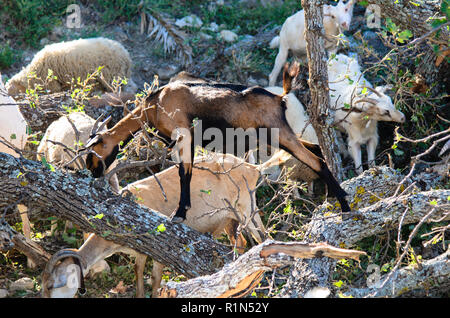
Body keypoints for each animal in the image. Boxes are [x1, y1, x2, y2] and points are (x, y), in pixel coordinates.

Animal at [41, 153, 268, 298]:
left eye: (52, 285)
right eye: (43, 284)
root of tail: (253, 168)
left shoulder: (161, 248)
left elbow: (156, 278)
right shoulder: (140, 251)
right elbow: (138, 273)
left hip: (247, 208)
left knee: (262, 237)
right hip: (231, 219)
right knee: (240, 242)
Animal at [83, 63, 352, 222]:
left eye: (94, 150)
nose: (94, 174)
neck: (154, 104)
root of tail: (280, 97)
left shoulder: (185, 134)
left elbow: (185, 173)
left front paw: (180, 213)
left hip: (278, 134)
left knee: (315, 159)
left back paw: (344, 205)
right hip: (279, 136)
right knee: (316, 149)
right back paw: (334, 194)